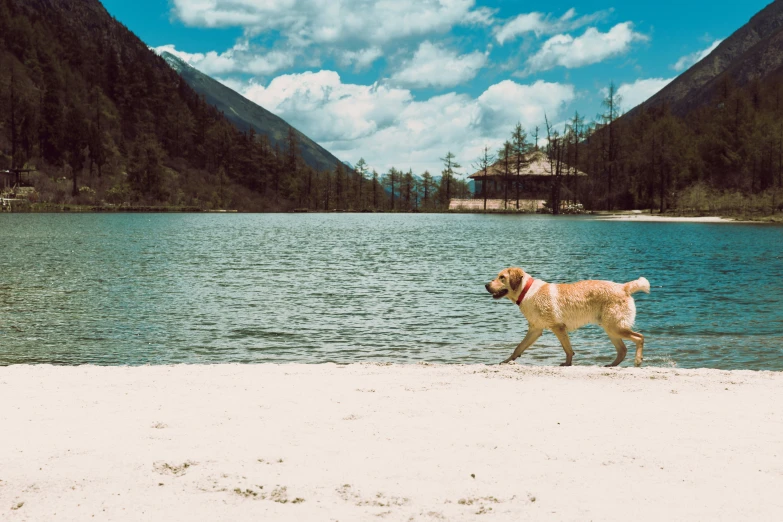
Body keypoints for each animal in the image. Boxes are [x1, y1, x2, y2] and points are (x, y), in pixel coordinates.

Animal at [486, 268, 652, 366]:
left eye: (502, 277)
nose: (486, 285)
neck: (526, 291)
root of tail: (624, 287)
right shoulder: (535, 329)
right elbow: (518, 347)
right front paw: (506, 361)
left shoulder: (558, 327)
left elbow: (567, 349)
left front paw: (567, 364)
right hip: (611, 329)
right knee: (622, 350)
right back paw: (611, 365)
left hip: (615, 327)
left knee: (640, 337)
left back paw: (637, 360)